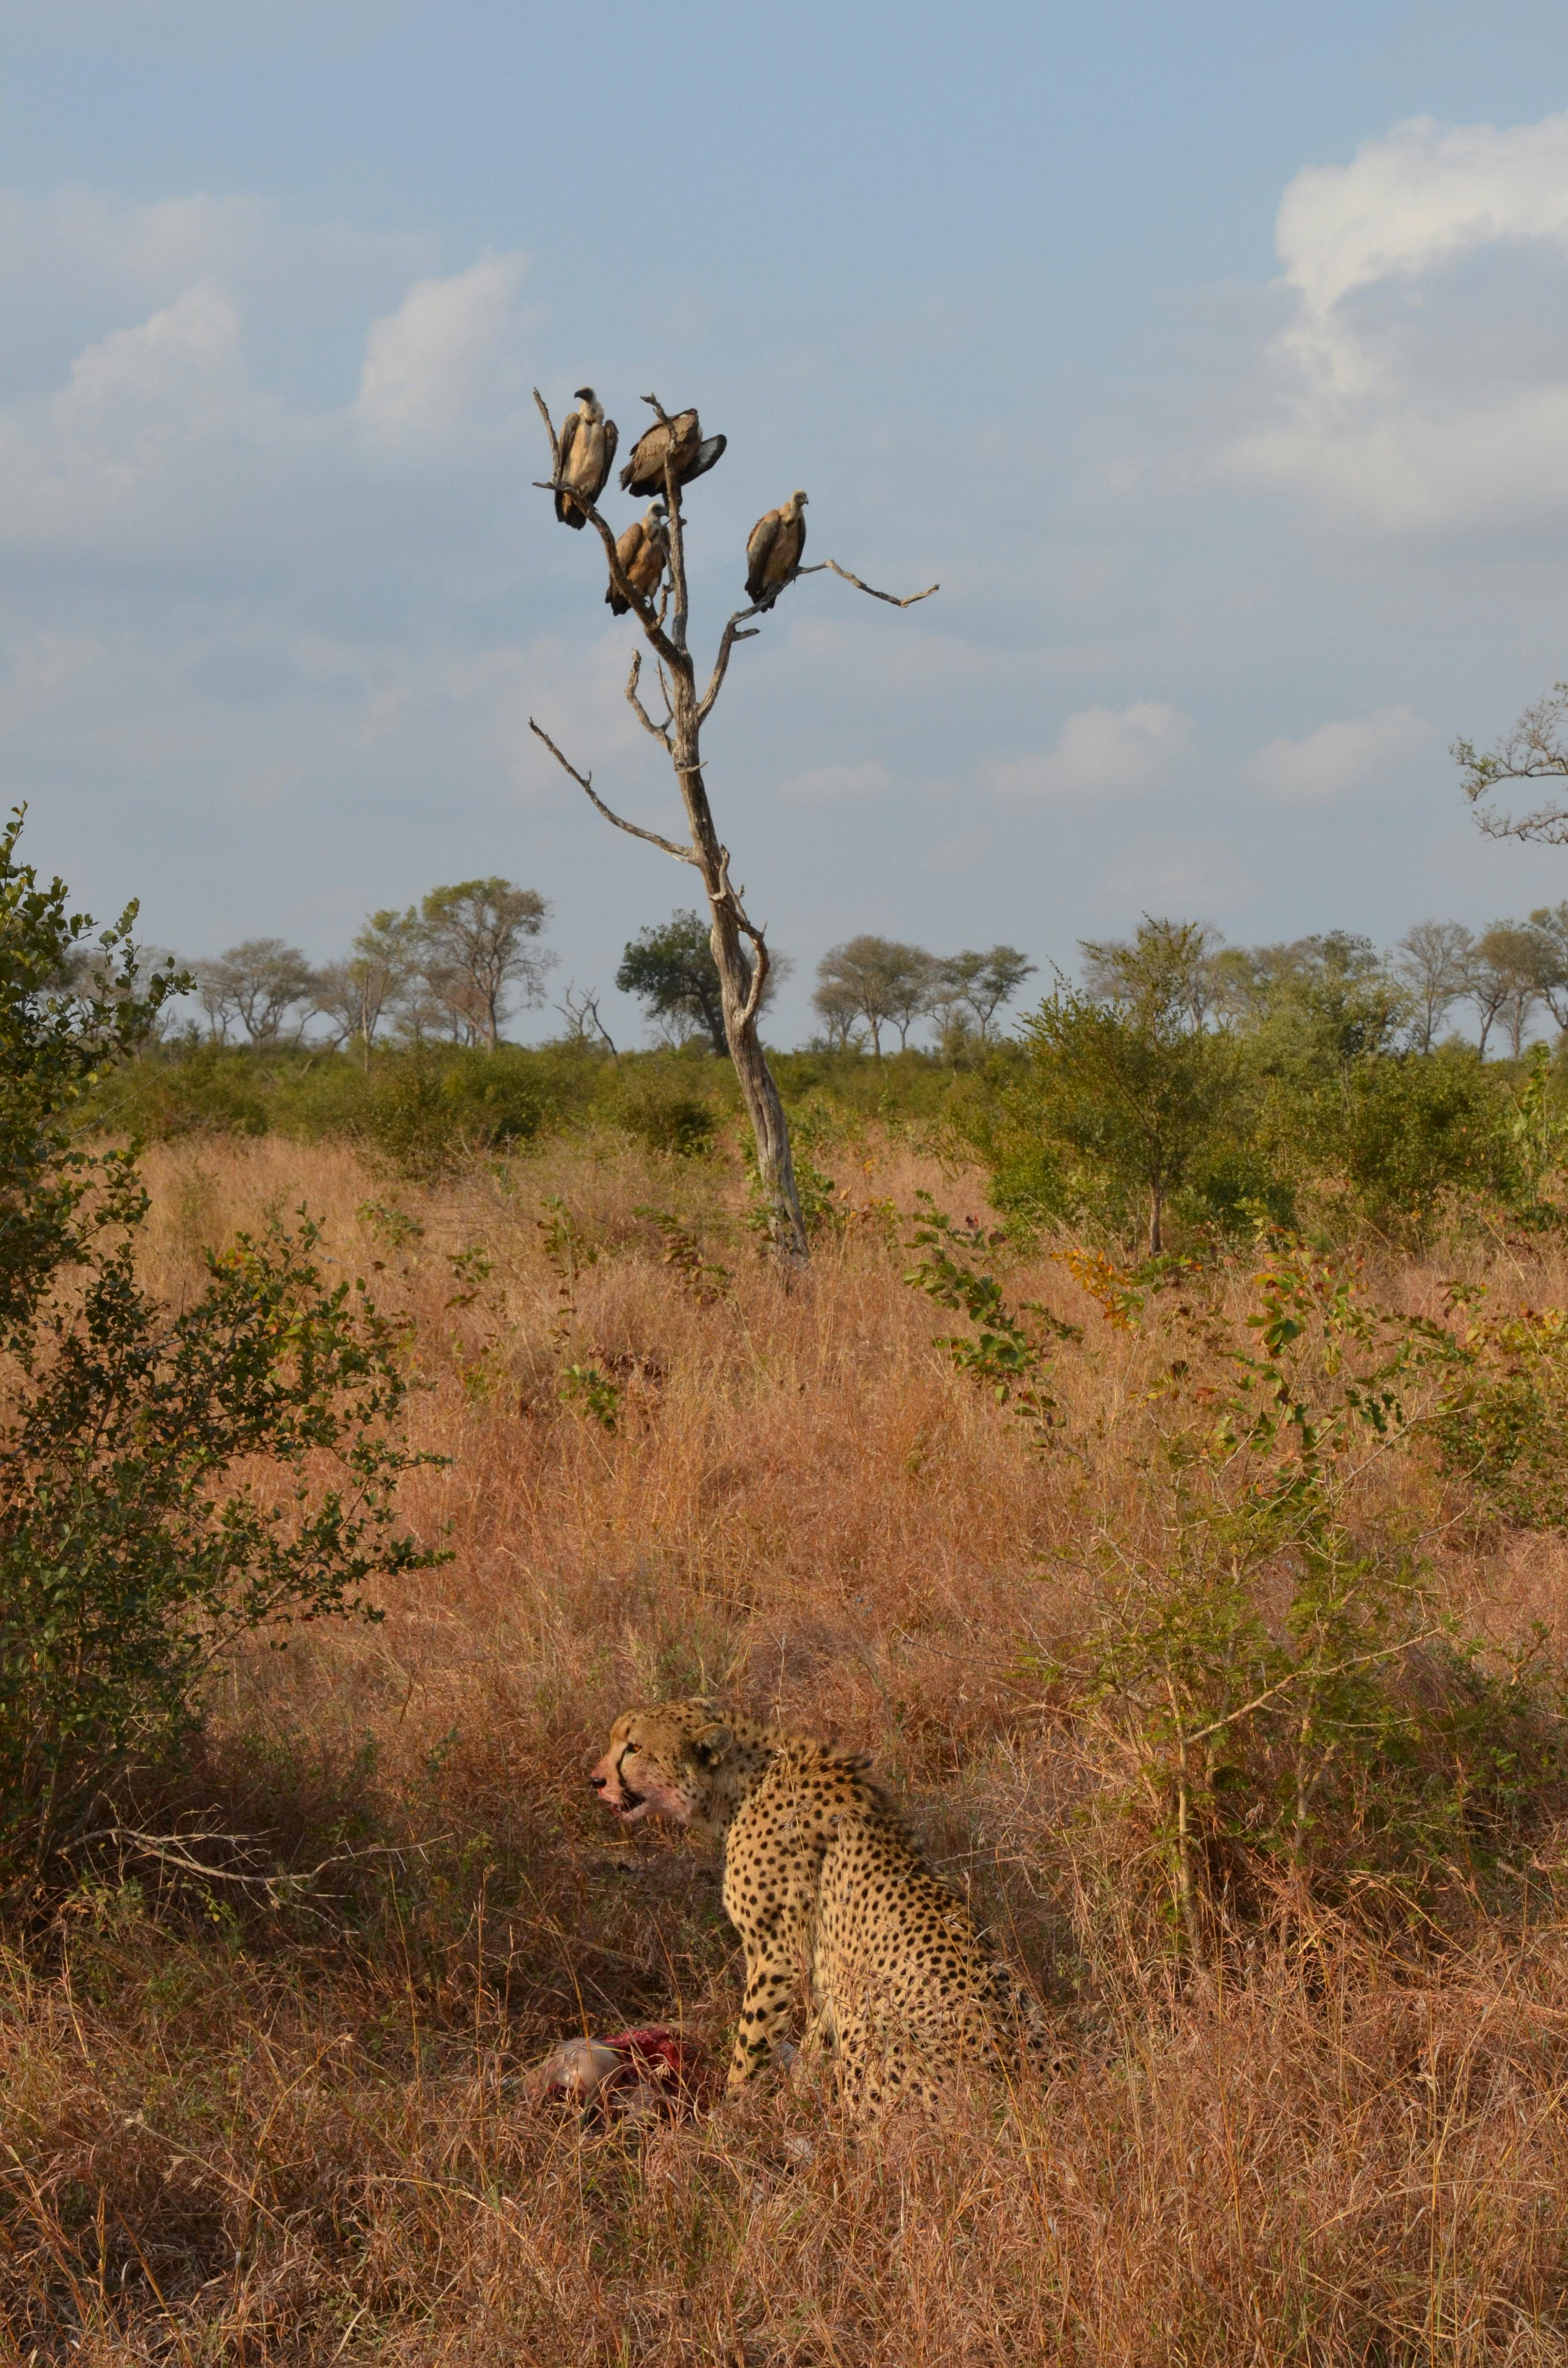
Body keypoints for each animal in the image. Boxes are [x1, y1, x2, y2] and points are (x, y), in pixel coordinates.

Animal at [590, 1696, 1060, 2114]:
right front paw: (795, 2094)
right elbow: (815, 2033)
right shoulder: (820, 1968)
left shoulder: (777, 1953)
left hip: (876, 2032)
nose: (595, 1780)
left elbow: (752, 2038)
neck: (748, 1781)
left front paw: (732, 2109)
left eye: (634, 1748)